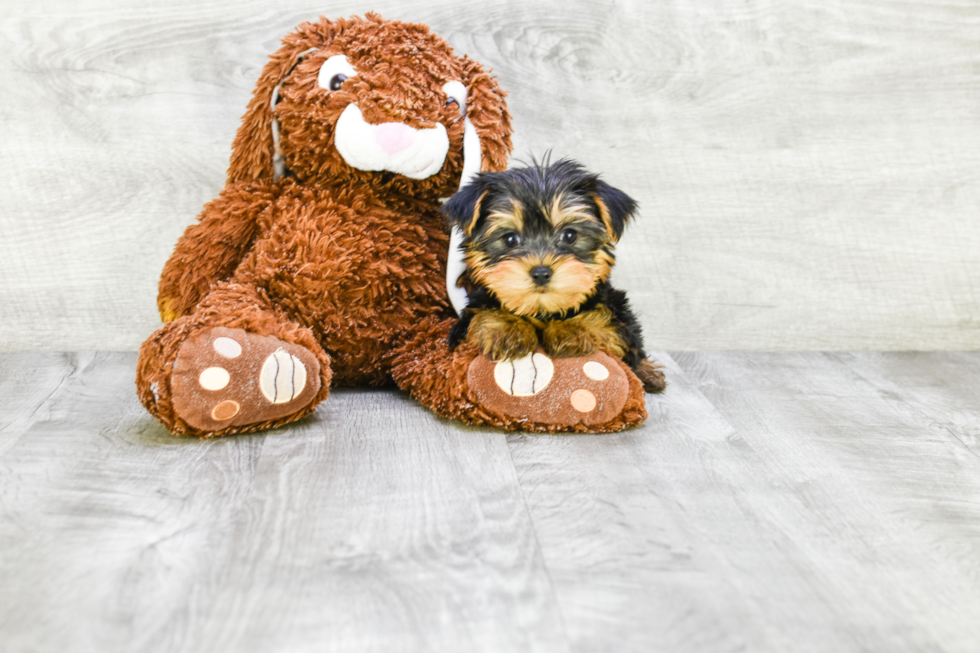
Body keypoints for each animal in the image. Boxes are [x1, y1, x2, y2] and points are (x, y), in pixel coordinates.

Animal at [442, 158, 668, 392]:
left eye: (569, 235)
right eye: (510, 239)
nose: (541, 272)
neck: (543, 310)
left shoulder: (617, 315)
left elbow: (605, 323)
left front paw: (570, 329)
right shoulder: (466, 320)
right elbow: (482, 313)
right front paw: (508, 328)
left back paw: (648, 372)